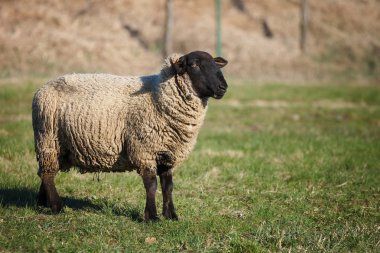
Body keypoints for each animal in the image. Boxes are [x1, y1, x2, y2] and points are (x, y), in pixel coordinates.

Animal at [32, 50, 227, 220]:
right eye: (194, 65)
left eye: (215, 64)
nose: (223, 86)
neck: (158, 95)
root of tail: (43, 87)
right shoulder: (144, 150)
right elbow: (151, 185)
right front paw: (151, 216)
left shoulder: (168, 153)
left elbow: (168, 186)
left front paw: (171, 215)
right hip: (47, 138)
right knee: (48, 174)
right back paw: (56, 206)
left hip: (60, 145)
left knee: (46, 172)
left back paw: (42, 202)